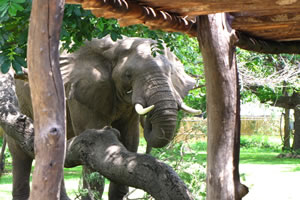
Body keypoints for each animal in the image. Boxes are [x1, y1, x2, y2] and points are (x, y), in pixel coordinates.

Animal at [9, 36, 200, 200]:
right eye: (128, 74)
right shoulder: (83, 91)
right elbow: (93, 141)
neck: (115, 47)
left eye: (170, 73)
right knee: (20, 152)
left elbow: (130, 141)